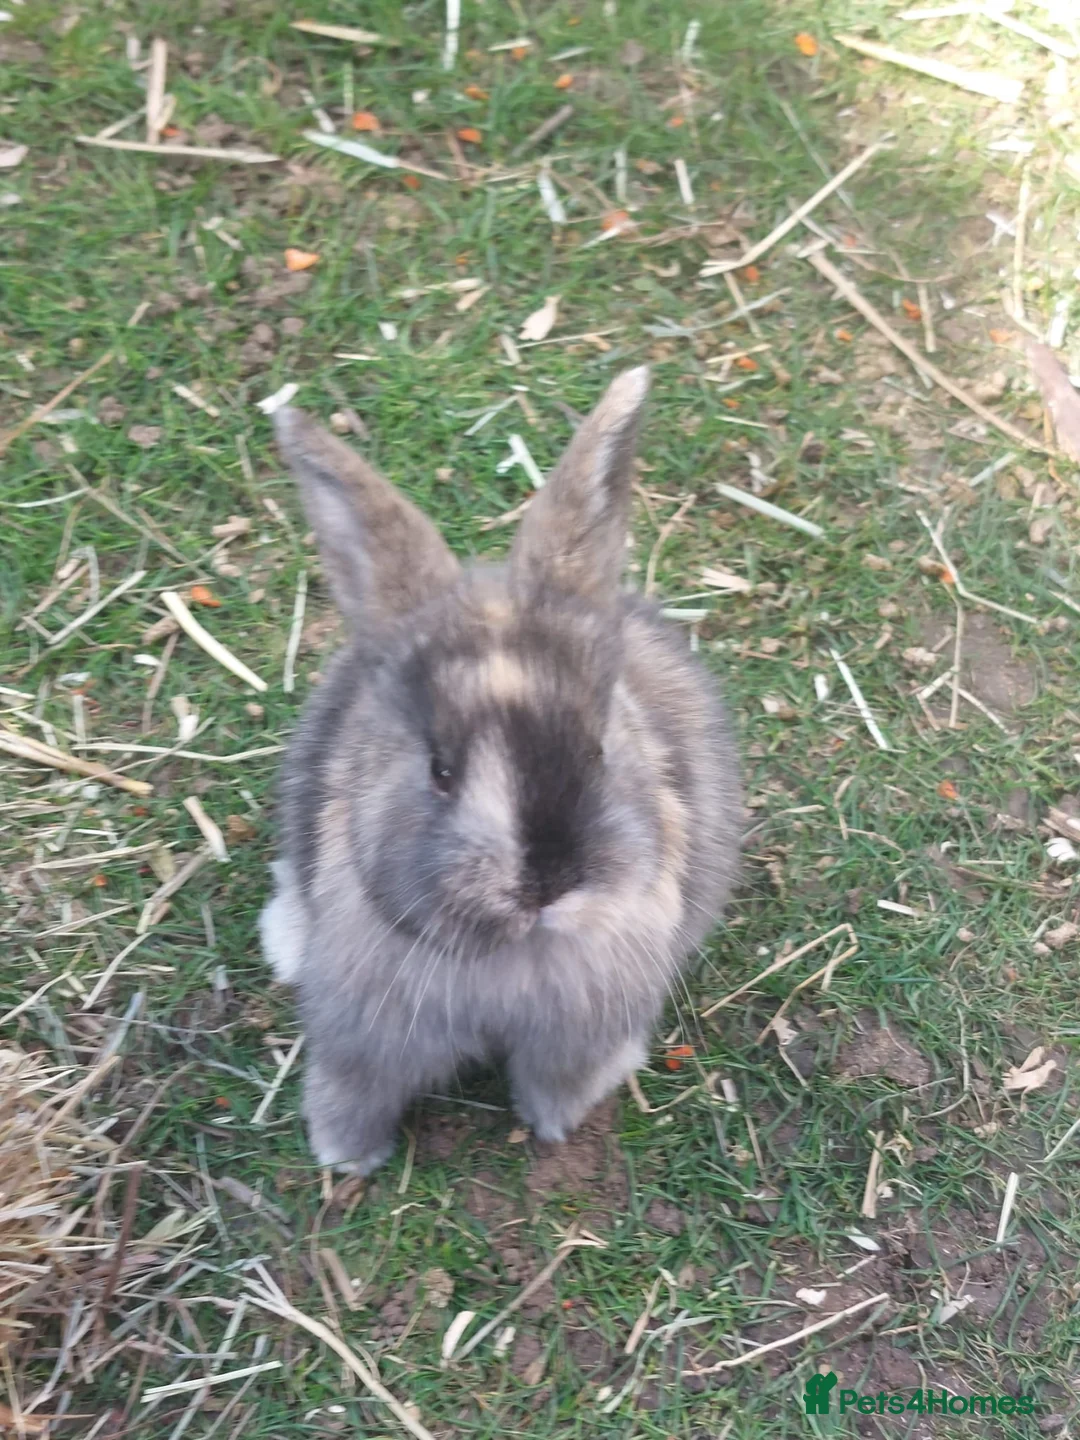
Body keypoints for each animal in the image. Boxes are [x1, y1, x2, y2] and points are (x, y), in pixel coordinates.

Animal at [259, 367, 742, 1175]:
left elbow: (558, 1080)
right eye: (440, 771)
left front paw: (553, 1127)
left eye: (599, 749)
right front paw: (344, 1158)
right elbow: (352, 1092)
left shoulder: (575, 1035)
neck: (513, 956)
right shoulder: (367, 1039)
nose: (546, 886)